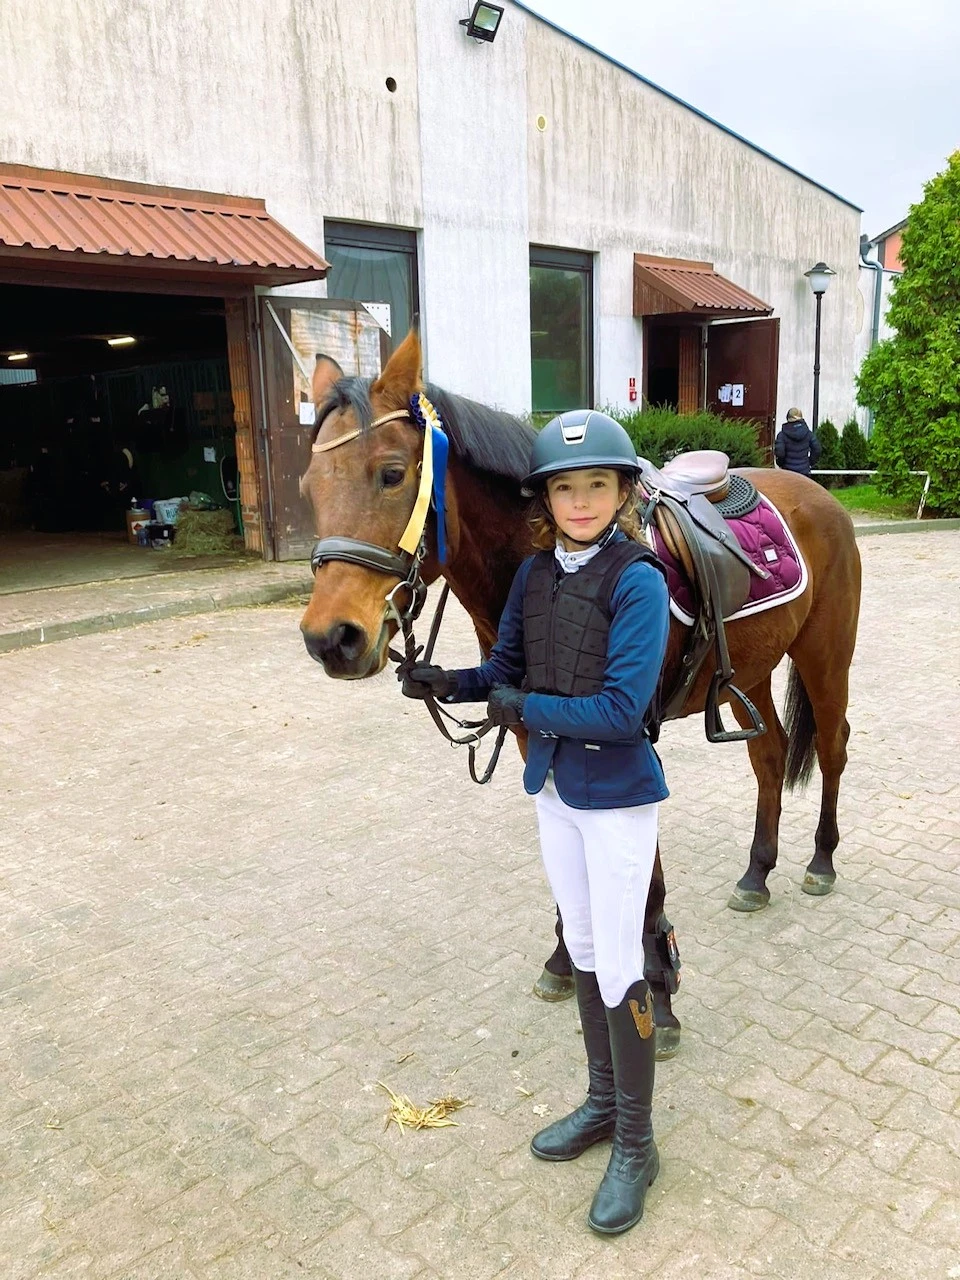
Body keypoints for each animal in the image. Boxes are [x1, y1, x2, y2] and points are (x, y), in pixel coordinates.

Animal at [298, 331, 862, 1055]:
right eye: (309, 486)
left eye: (392, 473)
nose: (330, 639)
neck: (555, 565)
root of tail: (816, 494)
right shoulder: (536, 734)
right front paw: (567, 959)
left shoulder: (628, 739)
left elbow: (641, 879)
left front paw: (658, 997)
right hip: (753, 673)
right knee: (771, 757)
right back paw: (757, 873)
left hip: (825, 657)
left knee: (834, 748)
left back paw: (821, 861)